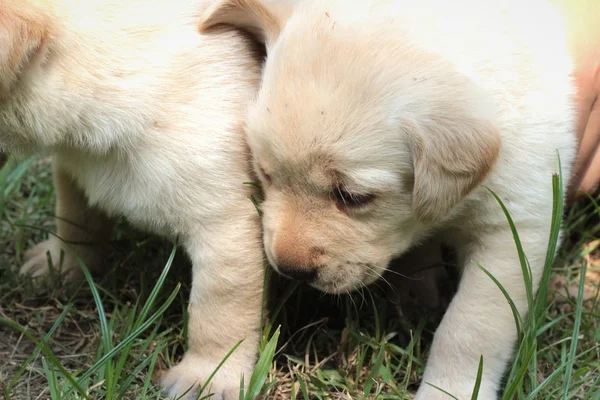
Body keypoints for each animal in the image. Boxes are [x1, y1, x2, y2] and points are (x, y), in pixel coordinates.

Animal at [0, 1, 266, 398]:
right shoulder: (74, 169)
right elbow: (75, 222)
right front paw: (62, 264)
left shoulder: (226, 230)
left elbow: (219, 313)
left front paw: (208, 376)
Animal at [203, 0, 580, 398]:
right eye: (266, 174)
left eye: (353, 197)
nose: (291, 270)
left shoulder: (514, 229)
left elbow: (470, 328)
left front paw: (449, 390)